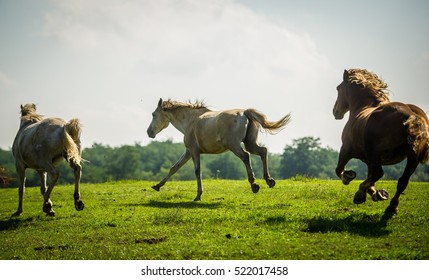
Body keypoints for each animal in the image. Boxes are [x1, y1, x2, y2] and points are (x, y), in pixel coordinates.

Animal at [147, 98, 290, 201]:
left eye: (153, 114)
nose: (149, 132)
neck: (190, 120)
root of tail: (244, 112)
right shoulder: (188, 152)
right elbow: (174, 168)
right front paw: (157, 186)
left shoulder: (194, 151)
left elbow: (197, 171)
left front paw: (198, 196)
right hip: (250, 143)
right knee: (263, 151)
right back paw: (269, 180)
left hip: (234, 145)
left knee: (246, 156)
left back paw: (254, 184)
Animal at [334, 69, 428, 218]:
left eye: (338, 88)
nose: (335, 112)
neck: (362, 107)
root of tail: (410, 115)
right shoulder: (368, 160)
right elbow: (370, 177)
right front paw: (377, 194)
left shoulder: (346, 150)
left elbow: (339, 170)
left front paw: (349, 177)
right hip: (413, 158)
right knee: (402, 181)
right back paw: (391, 208)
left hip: (375, 152)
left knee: (379, 173)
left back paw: (359, 193)